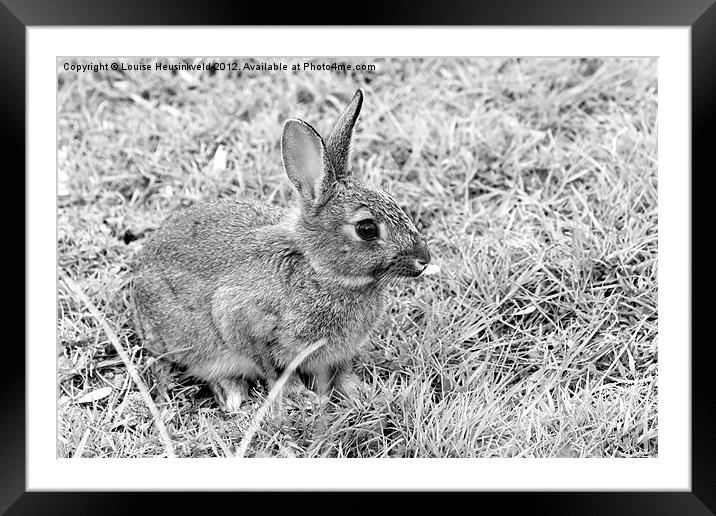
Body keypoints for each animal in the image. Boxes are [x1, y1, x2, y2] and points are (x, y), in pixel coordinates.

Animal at [132, 89, 434, 412]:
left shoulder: (337, 354)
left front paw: (362, 394)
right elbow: (272, 369)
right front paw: (303, 398)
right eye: (367, 229)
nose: (424, 260)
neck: (318, 270)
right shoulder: (238, 318)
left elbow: (341, 373)